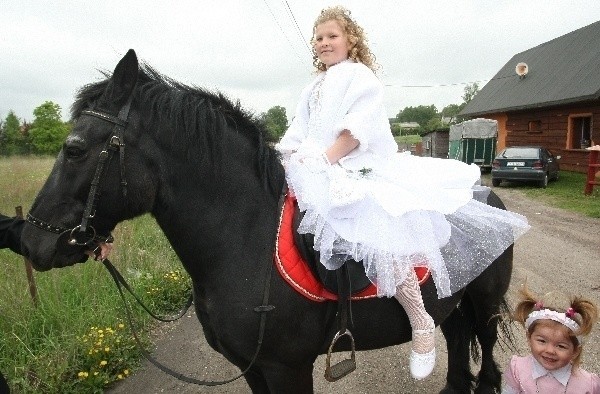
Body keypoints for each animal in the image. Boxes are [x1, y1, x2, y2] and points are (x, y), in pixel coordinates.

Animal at [21, 50, 512, 394]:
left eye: (74, 149)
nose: (32, 241)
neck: (243, 238)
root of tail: (489, 195)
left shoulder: (285, 368)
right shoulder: (253, 368)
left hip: (485, 308)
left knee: (487, 363)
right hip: (452, 305)